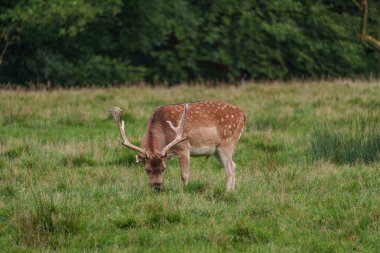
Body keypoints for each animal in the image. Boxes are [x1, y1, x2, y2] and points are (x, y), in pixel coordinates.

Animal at [110, 100, 246, 191]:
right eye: (147, 169)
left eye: (163, 169)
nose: (157, 186)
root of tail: (243, 115)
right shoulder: (166, 155)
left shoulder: (184, 147)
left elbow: (184, 174)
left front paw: (184, 190)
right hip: (216, 149)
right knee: (233, 165)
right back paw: (233, 191)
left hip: (227, 142)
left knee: (229, 168)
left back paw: (227, 192)